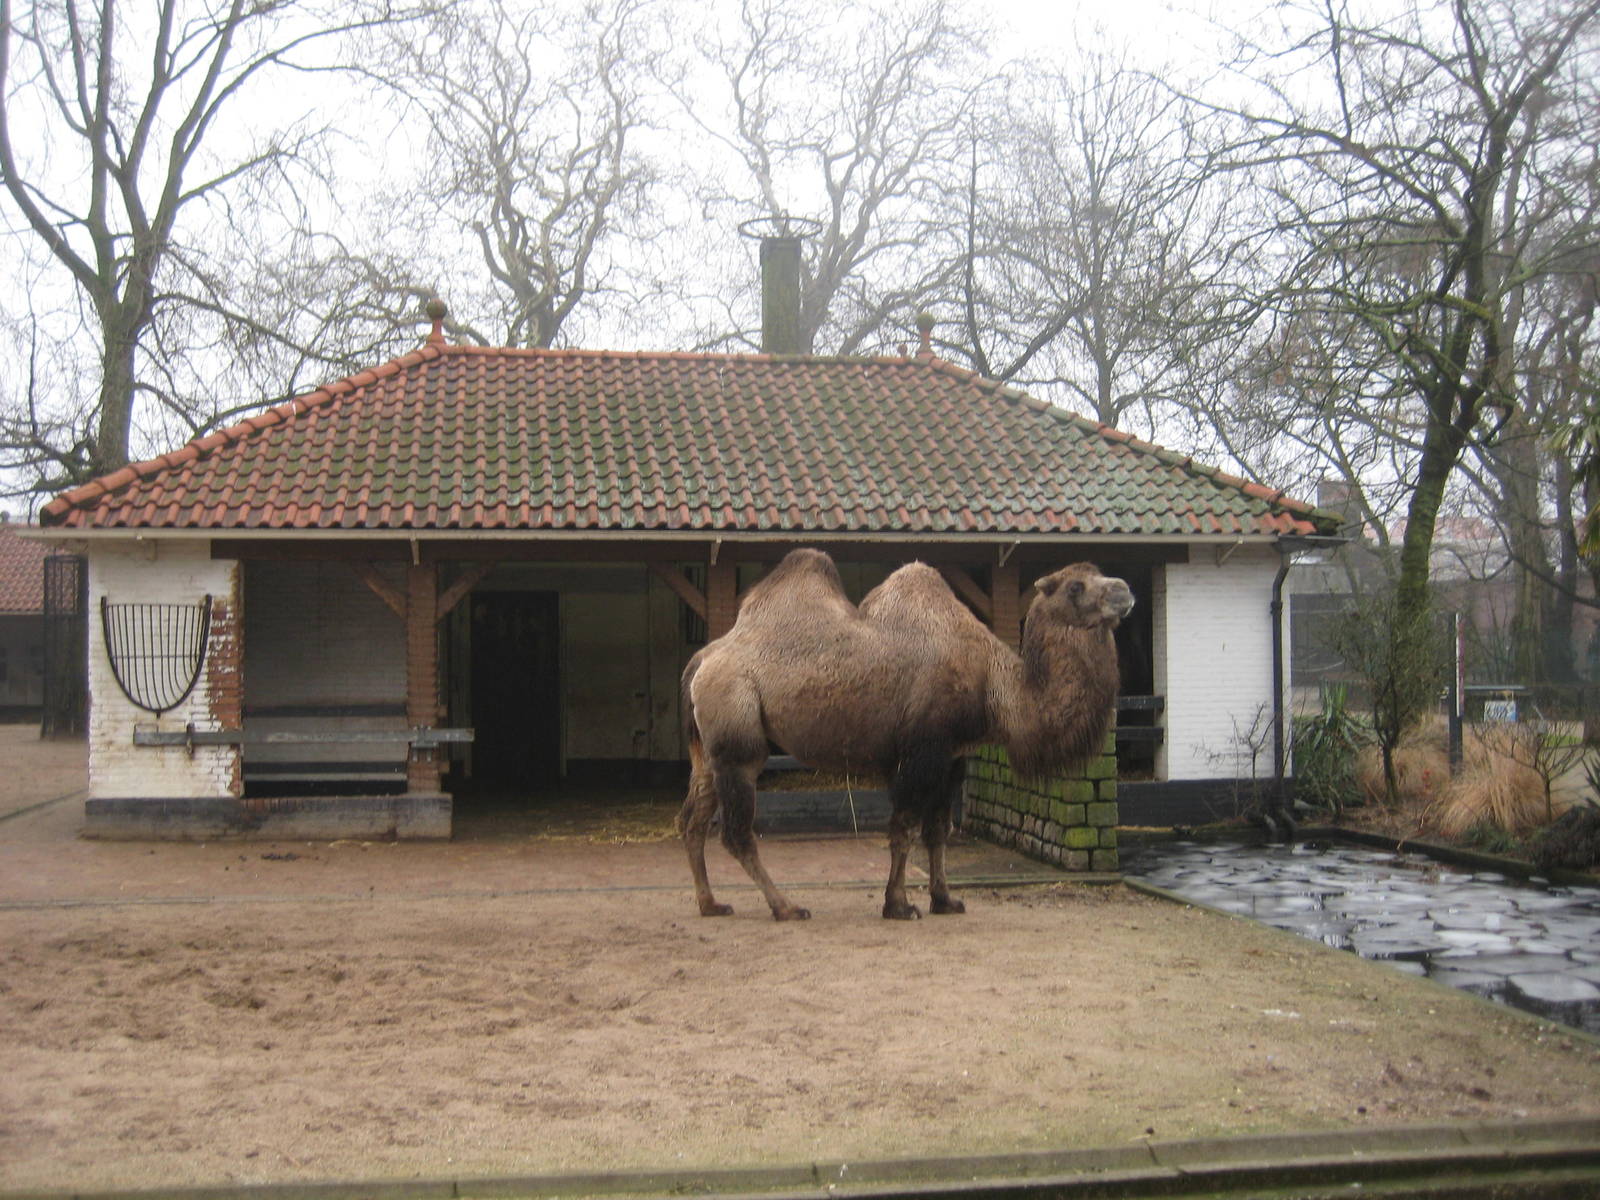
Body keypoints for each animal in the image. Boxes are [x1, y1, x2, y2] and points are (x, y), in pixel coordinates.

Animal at [678, 548, 1134, 921]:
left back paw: (710, 903)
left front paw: (944, 900)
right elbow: (905, 828)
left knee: (692, 820)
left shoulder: (953, 756)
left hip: (708, 750)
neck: (996, 686)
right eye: (1075, 586)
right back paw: (786, 907)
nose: (1125, 590)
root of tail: (702, 659)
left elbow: (938, 831)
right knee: (736, 832)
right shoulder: (922, 750)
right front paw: (898, 904)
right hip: (737, 737)